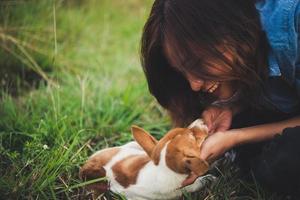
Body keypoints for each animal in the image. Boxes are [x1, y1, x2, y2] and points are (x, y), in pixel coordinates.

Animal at [78, 119, 212, 199]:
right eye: (193, 135)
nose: (201, 120)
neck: (163, 168)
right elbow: (195, 184)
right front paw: (207, 179)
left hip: (133, 145)